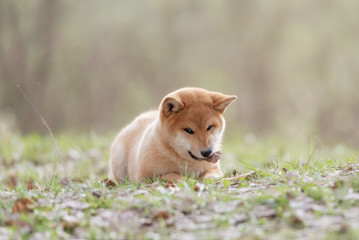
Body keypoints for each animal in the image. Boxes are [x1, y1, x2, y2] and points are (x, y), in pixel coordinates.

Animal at [110, 87, 239, 183]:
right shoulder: (146, 177)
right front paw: (191, 181)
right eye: (188, 130)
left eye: (209, 127)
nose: (207, 152)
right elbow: (174, 176)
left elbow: (211, 176)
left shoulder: (213, 168)